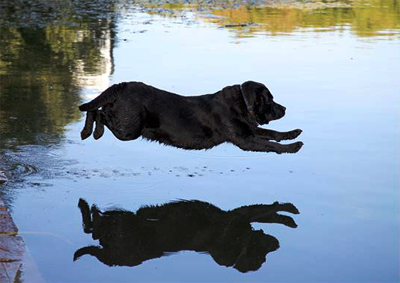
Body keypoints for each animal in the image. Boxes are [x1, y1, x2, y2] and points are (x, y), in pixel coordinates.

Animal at [74, 199, 300, 272]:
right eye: (261, 257)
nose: (277, 244)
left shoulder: (237, 216)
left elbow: (268, 213)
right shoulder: (236, 215)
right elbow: (267, 211)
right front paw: (289, 212)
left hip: (117, 222)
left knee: (92, 231)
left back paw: (86, 207)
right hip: (120, 224)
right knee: (93, 229)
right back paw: (87, 207)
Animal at [79, 81, 304, 154]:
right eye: (270, 100)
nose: (284, 108)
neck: (242, 103)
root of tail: (121, 86)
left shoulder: (249, 130)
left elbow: (273, 133)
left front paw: (293, 133)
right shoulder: (244, 140)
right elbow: (271, 144)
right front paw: (293, 147)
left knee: (98, 109)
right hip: (129, 129)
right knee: (97, 111)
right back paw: (91, 132)